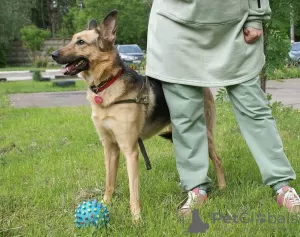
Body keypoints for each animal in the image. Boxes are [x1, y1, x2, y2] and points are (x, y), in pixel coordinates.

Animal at [52, 9, 225, 220]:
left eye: (81, 42)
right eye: (71, 39)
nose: (53, 54)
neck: (107, 85)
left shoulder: (130, 150)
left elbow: (133, 190)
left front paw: (136, 218)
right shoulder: (110, 148)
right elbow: (109, 182)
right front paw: (105, 205)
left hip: (204, 135)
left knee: (217, 159)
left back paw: (223, 187)